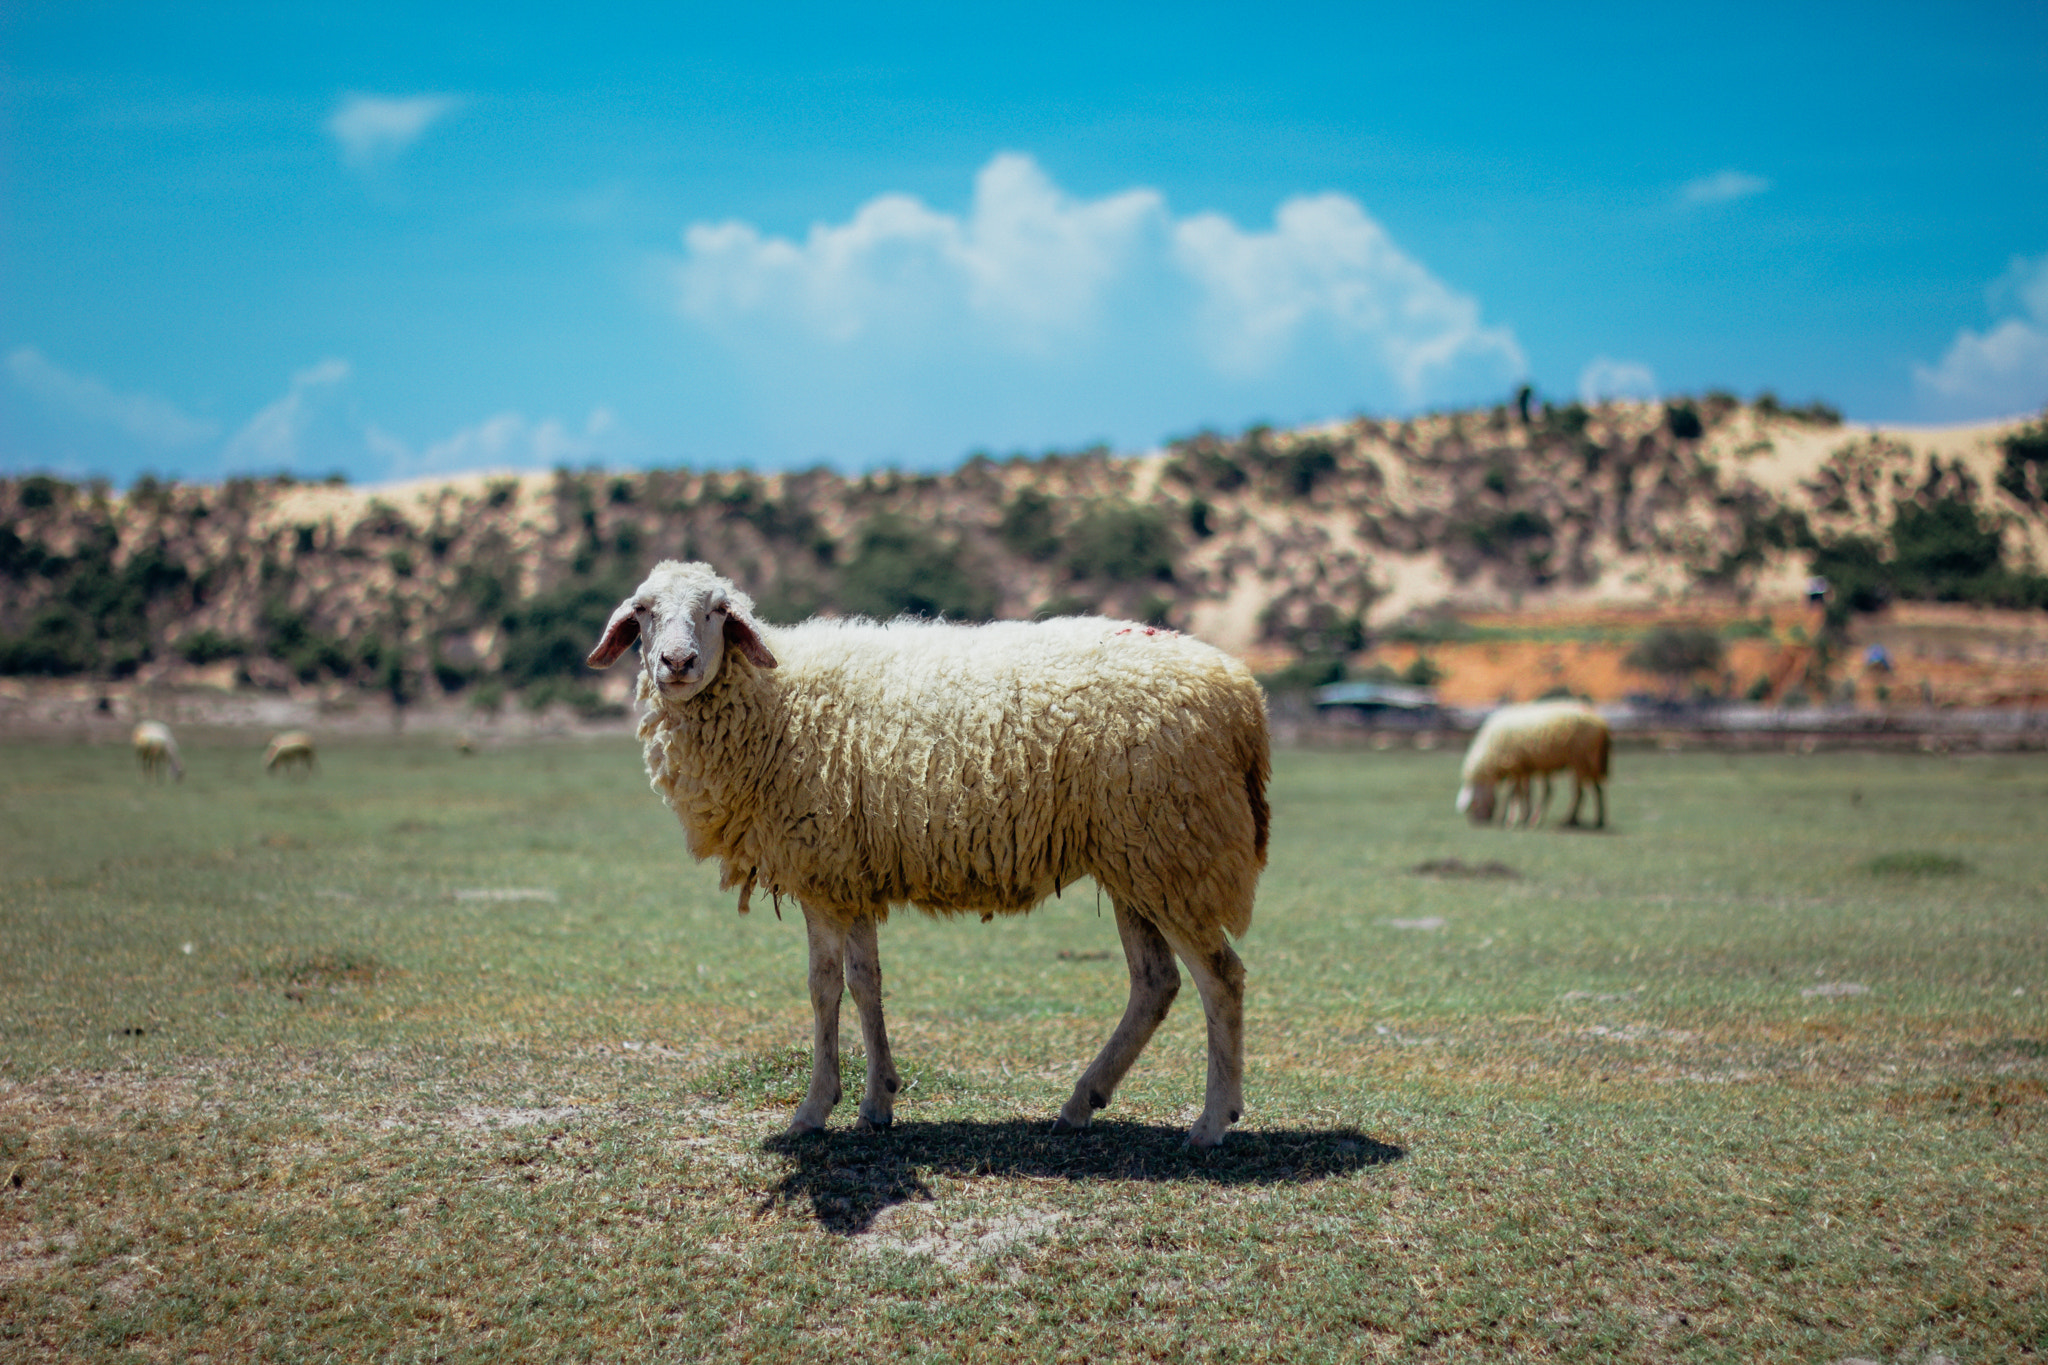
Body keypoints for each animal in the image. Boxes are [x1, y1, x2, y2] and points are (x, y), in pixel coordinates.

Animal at [585, 560, 1269, 1146]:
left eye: (719, 610)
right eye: (642, 611)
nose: (677, 662)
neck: (776, 699)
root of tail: (1243, 694)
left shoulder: (821, 871)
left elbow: (824, 987)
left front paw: (815, 1108)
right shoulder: (850, 871)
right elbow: (867, 983)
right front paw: (877, 1101)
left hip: (1176, 848)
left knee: (1220, 978)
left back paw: (1212, 1121)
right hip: (1135, 858)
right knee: (1156, 984)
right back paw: (1082, 1102)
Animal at [1458, 703, 1613, 834]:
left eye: (1474, 804)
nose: (1477, 823)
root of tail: (1601, 723)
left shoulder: (1516, 766)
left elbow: (1515, 793)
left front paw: (1512, 819)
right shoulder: (1524, 768)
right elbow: (1524, 793)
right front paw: (1522, 817)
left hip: (1580, 759)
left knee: (1579, 792)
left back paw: (1570, 820)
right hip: (1589, 762)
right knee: (1597, 789)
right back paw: (1598, 821)